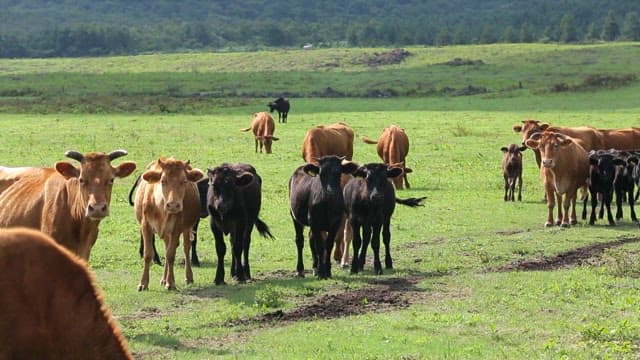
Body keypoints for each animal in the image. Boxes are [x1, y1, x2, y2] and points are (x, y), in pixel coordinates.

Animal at [134, 157, 204, 290]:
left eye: (184, 181)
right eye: (162, 181)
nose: (173, 205)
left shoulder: (176, 228)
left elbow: (171, 255)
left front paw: (170, 283)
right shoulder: (145, 226)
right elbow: (148, 254)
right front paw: (143, 283)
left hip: (185, 229)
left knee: (186, 248)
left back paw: (188, 277)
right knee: (167, 248)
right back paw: (163, 279)